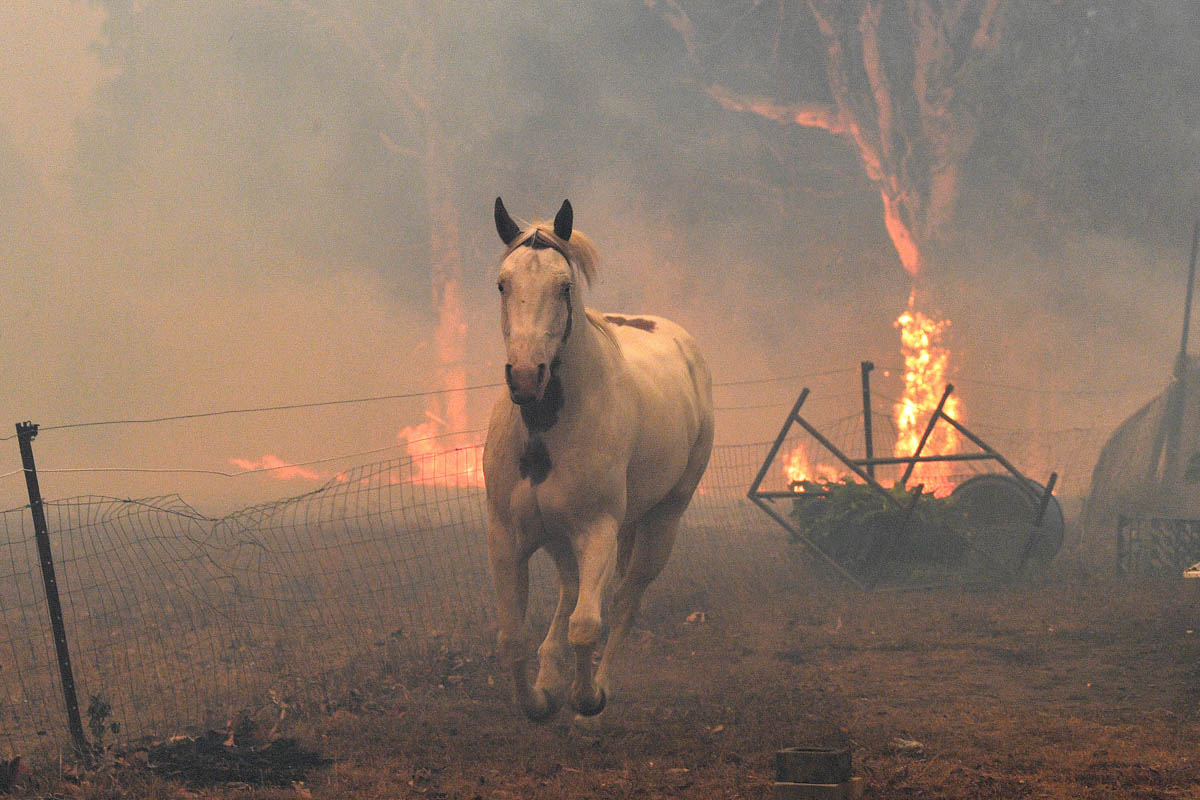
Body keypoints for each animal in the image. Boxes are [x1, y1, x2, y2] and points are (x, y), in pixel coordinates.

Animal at [483, 197, 714, 721]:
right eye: (504, 283)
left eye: (564, 286)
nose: (525, 376)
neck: (545, 431)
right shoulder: (508, 538)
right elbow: (511, 637)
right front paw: (538, 701)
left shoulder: (598, 530)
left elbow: (587, 624)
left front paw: (585, 697)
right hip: (561, 537)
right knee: (571, 590)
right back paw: (551, 675)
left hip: (662, 521)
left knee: (626, 599)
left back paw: (600, 684)